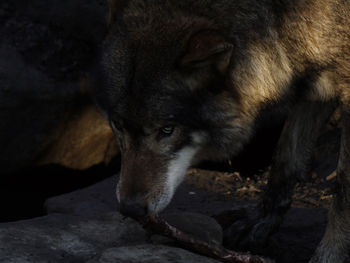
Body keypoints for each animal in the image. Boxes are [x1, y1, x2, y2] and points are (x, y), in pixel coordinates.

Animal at [92, 0, 350, 262]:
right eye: (118, 125)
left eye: (167, 130)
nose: (130, 209)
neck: (281, 16)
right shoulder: (313, 80)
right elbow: (285, 160)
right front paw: (259, 223)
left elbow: (342, 189)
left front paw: (329, 255)